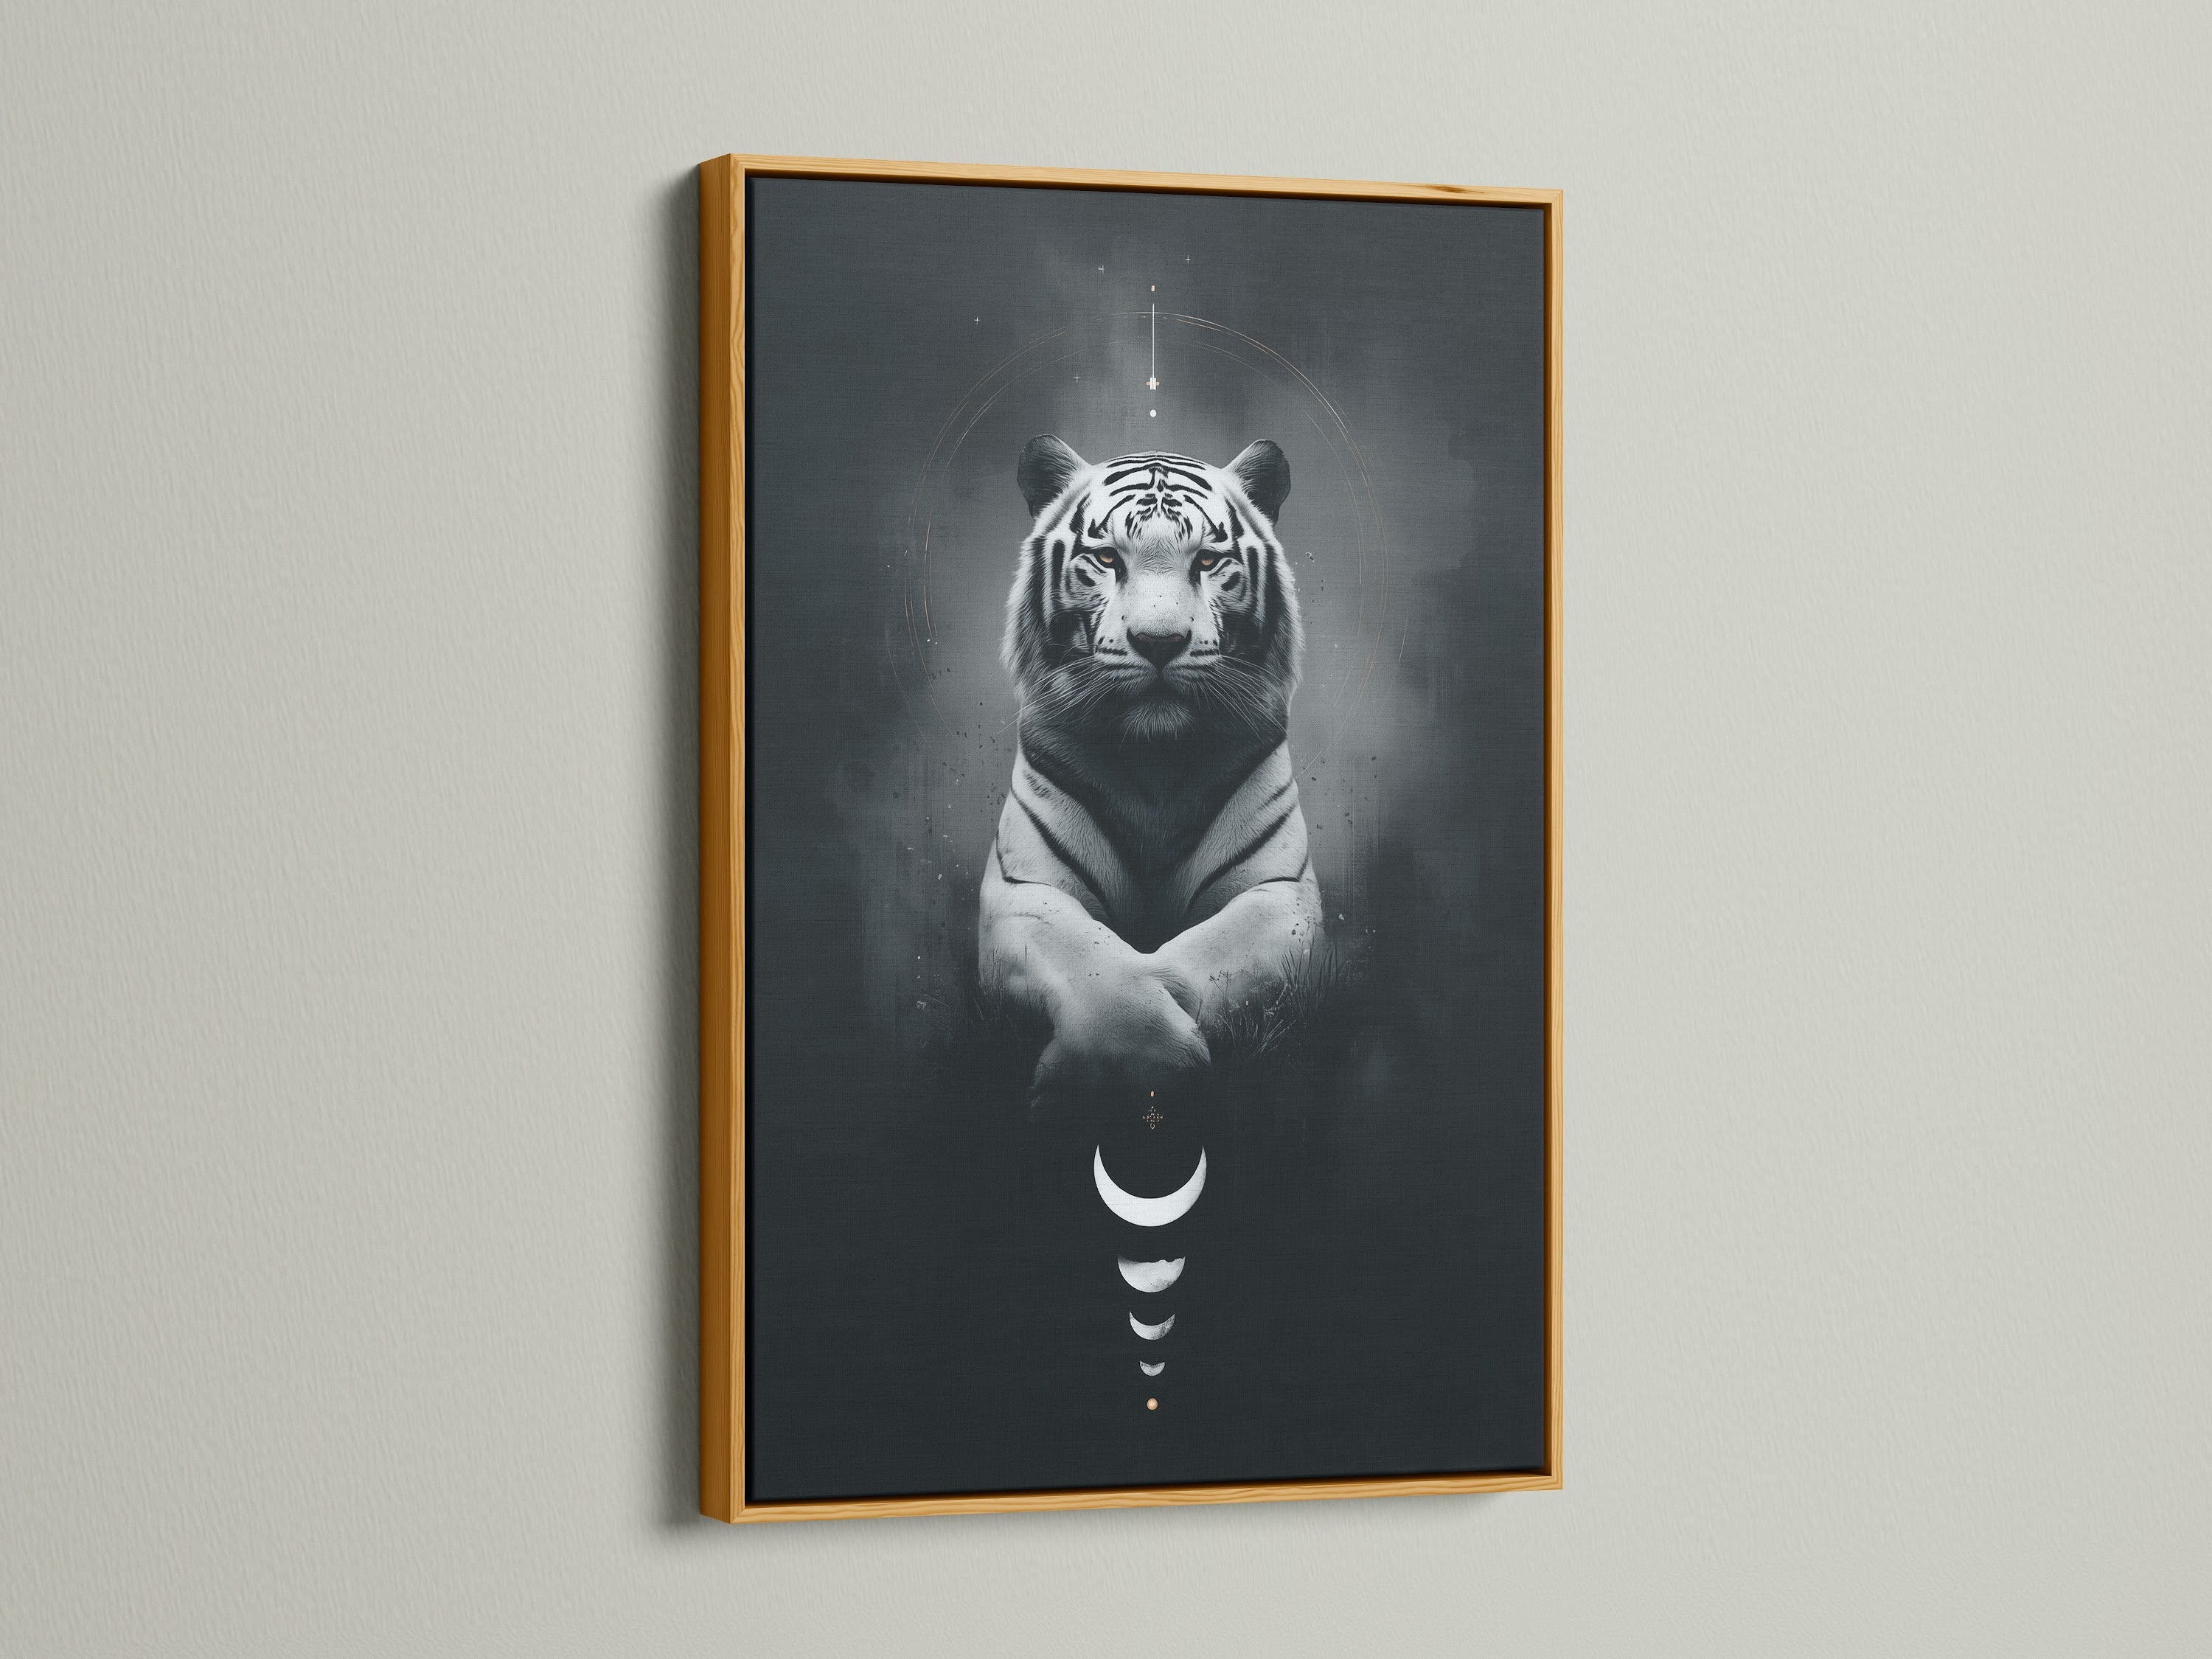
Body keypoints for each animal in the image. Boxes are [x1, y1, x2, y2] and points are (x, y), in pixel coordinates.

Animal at [979, 436, 1323, 1098]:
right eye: (1108, 558)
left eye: (1208, 560)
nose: (1159, 642)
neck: (1155, 766)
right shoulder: (1024, 891)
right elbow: (1099, 968)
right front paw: (1127, 1059)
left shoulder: (1281, 894)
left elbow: (1197, 956)